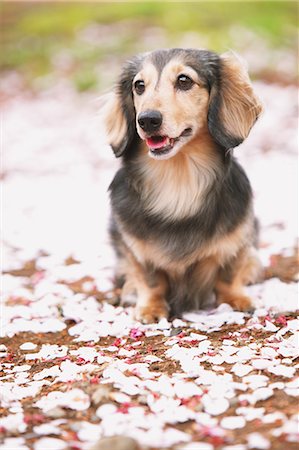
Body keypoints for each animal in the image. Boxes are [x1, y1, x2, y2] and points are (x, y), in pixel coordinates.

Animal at [102, 48, 262, 324]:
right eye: (139, 86)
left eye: (184, 80)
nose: (147, 120)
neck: (179, 180)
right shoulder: (133, 246)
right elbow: (150, 279)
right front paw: (151, 307)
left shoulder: (239, 237)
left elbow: (229, 274)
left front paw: (235, 299)